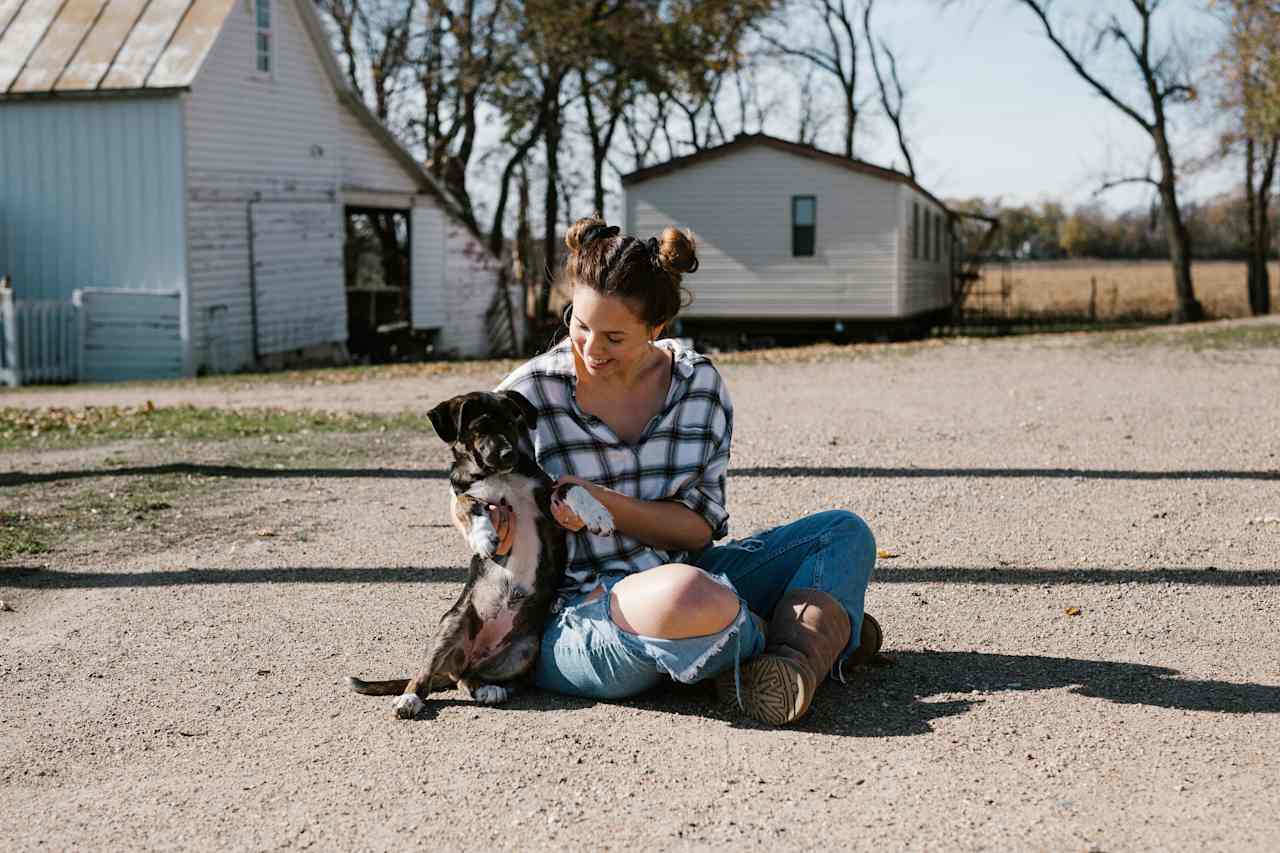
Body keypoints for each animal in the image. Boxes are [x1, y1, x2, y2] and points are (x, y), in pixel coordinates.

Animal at [348, 389, 611, 712]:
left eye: (511, 421)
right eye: (480, 427)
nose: (508, 455)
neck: (498, 475)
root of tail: (476, 654)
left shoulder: (545, 498)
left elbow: (569, 487)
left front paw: (598, 514)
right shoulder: (465, 492)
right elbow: (468, 503)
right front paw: (483, 536)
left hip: (526, 648)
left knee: (466, 676)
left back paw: (487, 689)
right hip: (452, 625)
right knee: (430, 673)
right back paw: (409, 699)